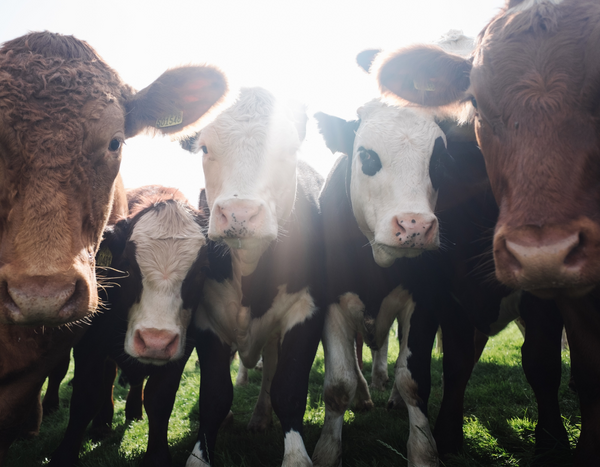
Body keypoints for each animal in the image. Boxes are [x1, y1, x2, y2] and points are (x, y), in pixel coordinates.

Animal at [0, 31, 229, 466]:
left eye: (115, 142)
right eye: (131, 267)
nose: (41, 295)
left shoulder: (179, 345)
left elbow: (160, 399)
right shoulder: (87, 343)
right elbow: (84, 394)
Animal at [182, 88, 326, 467]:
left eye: (288, 149)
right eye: (205, 148)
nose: (239, 213)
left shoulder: (306, 311)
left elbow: (288, 389)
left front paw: (295, 456)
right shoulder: (207, 318)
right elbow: (214, 396)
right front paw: (199, 455)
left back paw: (261, 417)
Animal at [312, 97, 564, 466]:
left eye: (440, 161)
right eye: (368, 157)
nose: (414, 224)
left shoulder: (428, 302)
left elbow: (415, 378)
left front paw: (425, 450)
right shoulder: (333, 301)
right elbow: (339, 385)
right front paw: (327, 452)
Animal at [376, 1, 600, 466]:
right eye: (475, 98)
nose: (543, 252)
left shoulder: (544, 293)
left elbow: (542, 361)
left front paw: (552, 440)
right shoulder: (446, 287)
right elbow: (457, 359)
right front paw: (447, 435)